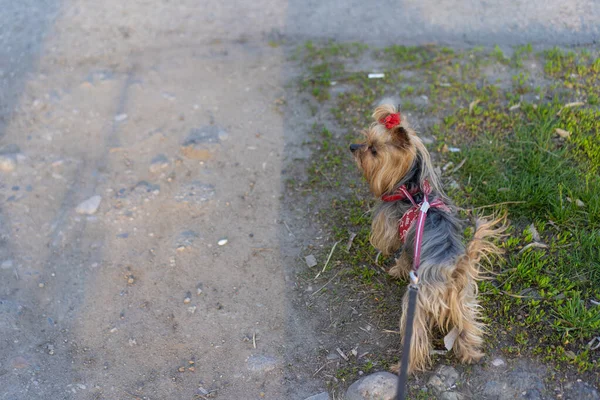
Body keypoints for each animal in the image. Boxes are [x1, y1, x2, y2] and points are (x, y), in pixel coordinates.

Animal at [350, 104, 504, 374]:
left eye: (373, 149)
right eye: (366, 141)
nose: (352, 147)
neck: (411, 188)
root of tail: (453, 272)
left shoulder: (394, 230)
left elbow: (396, 251)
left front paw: (395, 270)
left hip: (420, 303)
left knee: (417, 337)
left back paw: (402, 366)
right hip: (464, 300)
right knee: (466, 324)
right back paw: (471, 354)